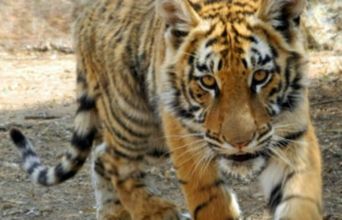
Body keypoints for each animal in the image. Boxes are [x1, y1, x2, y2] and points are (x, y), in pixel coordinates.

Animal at [8, 0, 324, 219]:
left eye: (260, 76)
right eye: (208, 81)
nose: (240, 143)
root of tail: (83, 14)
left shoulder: (292, 137)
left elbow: (299, 200)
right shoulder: (190, 145)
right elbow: (214, 205)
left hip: (154, 140)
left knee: (101, 155)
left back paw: (114, 213)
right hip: (134, 117)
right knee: (116, 162)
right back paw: (154, 211)